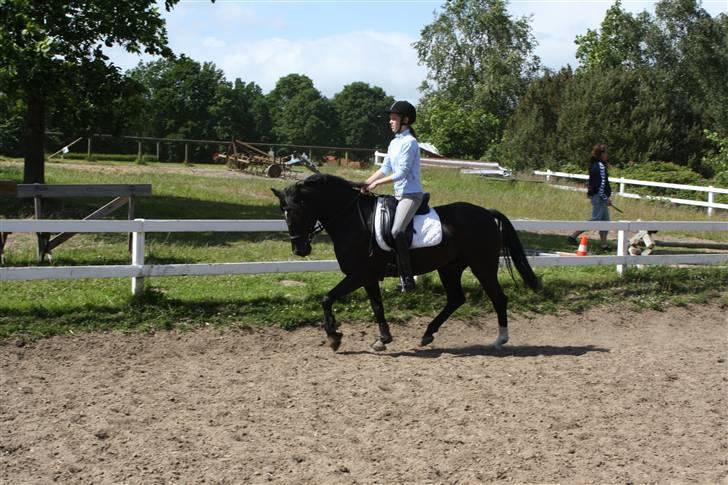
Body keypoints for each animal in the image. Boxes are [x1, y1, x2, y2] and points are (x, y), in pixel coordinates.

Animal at [272, 174, 540, 352]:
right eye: (282, 212)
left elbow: (327, 298)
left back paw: (500, 340)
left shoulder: (359, 274)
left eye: (295, 211)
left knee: (498, 298)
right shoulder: (368, 277)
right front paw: (382, 339)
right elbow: (377, 306)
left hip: (482, 266)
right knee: (456, 299)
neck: (353, 220)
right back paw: (427, 334)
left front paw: (334, 337)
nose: (299, 249)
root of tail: (485, 213)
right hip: (449, 267)